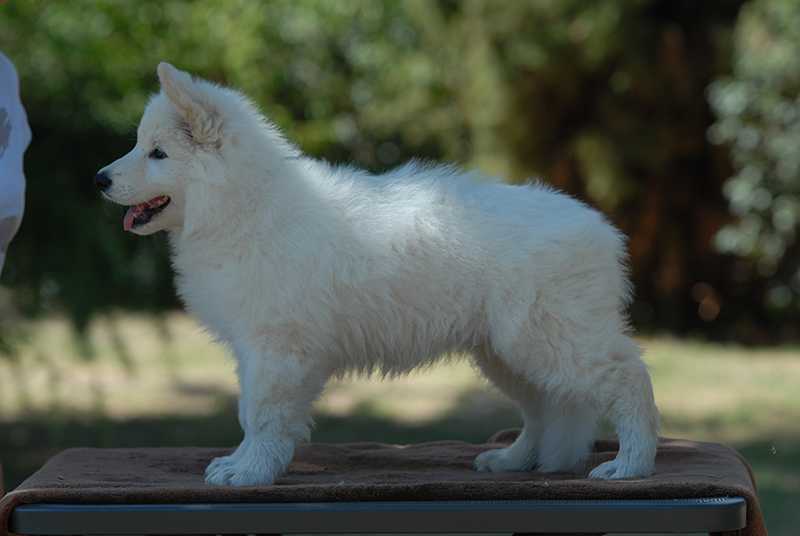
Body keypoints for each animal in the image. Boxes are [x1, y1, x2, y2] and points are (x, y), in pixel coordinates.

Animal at [97, 61, 660, 486]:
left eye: (158, 153)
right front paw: (243, 463)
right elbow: (250, 413)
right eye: (139, 145)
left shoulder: (276, 348)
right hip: (506, 349)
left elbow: (260, 414)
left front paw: (249, 472)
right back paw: (515, 460)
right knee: (543, 408)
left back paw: (630, 465)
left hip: (552, 337)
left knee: (628, 379)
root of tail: (600, 227)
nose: (99, 179)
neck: (245, 205)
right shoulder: (257, 351)